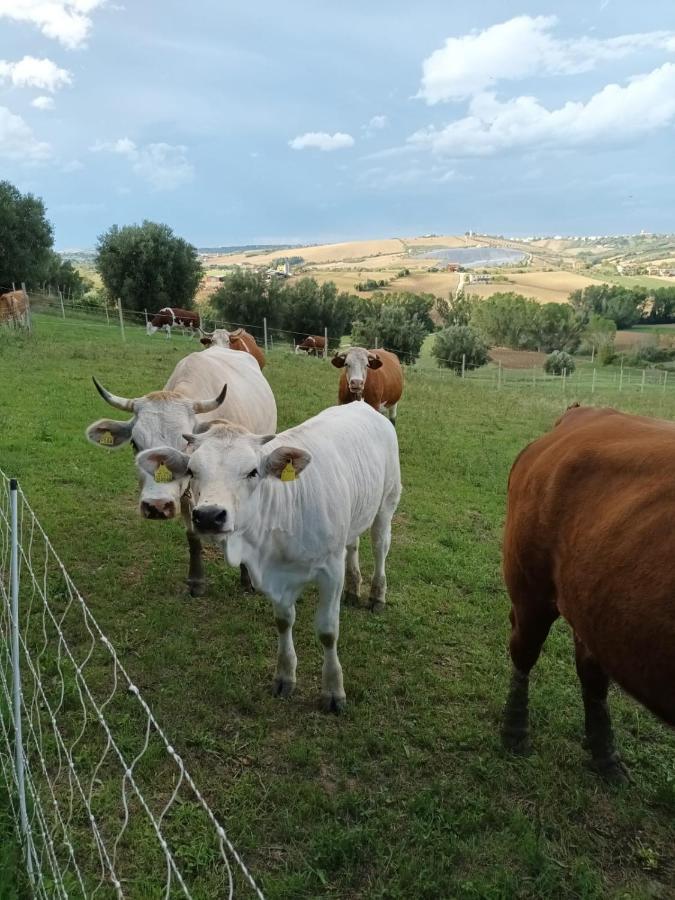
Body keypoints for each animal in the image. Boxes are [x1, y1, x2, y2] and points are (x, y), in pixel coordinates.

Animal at [87, 346, 278, 596]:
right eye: (135, 444)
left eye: (186, 443)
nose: (157, 506)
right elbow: (192, 536)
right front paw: (196, 580)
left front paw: (247, 579)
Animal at [137, 402, 402, 712]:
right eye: (191, 470)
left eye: (253, 472)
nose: (209, 516)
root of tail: (364, 405)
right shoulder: (276, 576)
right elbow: (283, 621)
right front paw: (285, 676)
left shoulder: (330, 571)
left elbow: (327, 631)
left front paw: (333, 691)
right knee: (353, 545)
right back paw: (353, 588)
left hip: (387, 503)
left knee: (380, 546)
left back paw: (376, 595)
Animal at [502, 406, 675, 780]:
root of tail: (584, 413)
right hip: (530, 589)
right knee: (524, 651)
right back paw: (514, 730)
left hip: (596, 605)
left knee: (591, 672)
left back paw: (604, 754)